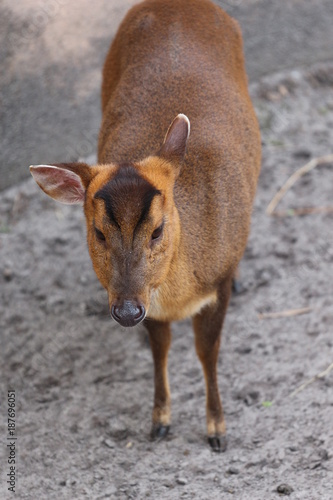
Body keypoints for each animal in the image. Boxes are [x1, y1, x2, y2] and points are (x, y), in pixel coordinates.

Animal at [29, 0, 260, 454]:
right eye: (98, 232)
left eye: (157, 229)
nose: (125, 312)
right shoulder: (143, 297)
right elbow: (161, 349)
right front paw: (159, 422)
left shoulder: (216, 281)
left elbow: (208, 351)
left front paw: (217, 429)